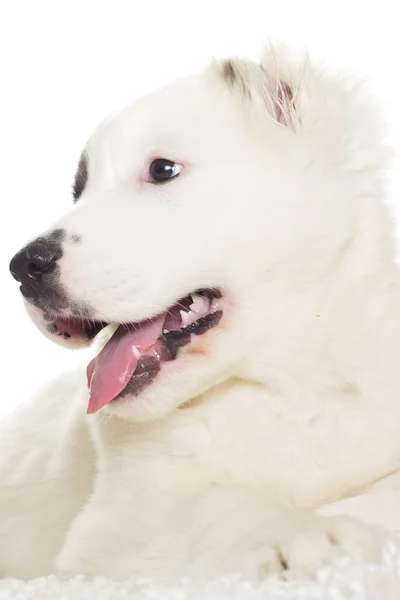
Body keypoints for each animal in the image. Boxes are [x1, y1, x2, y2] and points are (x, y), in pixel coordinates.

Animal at [1, 45, 398, 580]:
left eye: (163, 170)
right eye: (79, 190)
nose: (24, 266)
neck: (289, 387)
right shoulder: (110, 535)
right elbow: (219, 505)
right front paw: (311, 532)